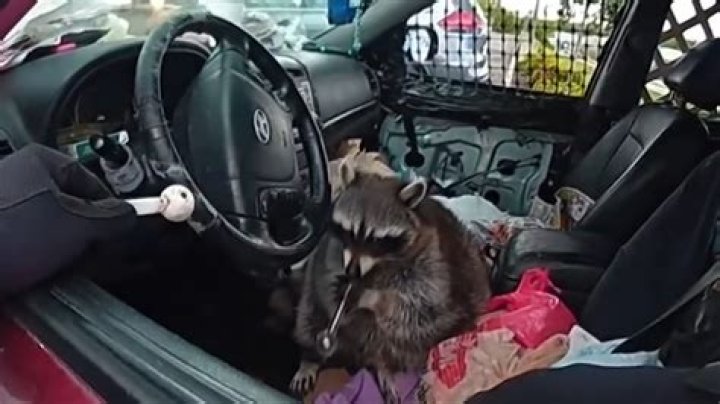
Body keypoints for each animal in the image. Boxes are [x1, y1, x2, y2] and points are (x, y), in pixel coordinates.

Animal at [291, 173, 491, 403]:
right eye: (349, 232)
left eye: (376, 240)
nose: (352, 273)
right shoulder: (332, 248)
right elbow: (324, 275)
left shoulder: (433, 260)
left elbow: (421, 302)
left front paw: (372, 297)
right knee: (309, 314)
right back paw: (310, 356)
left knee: (407, 336)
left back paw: (384, 365)